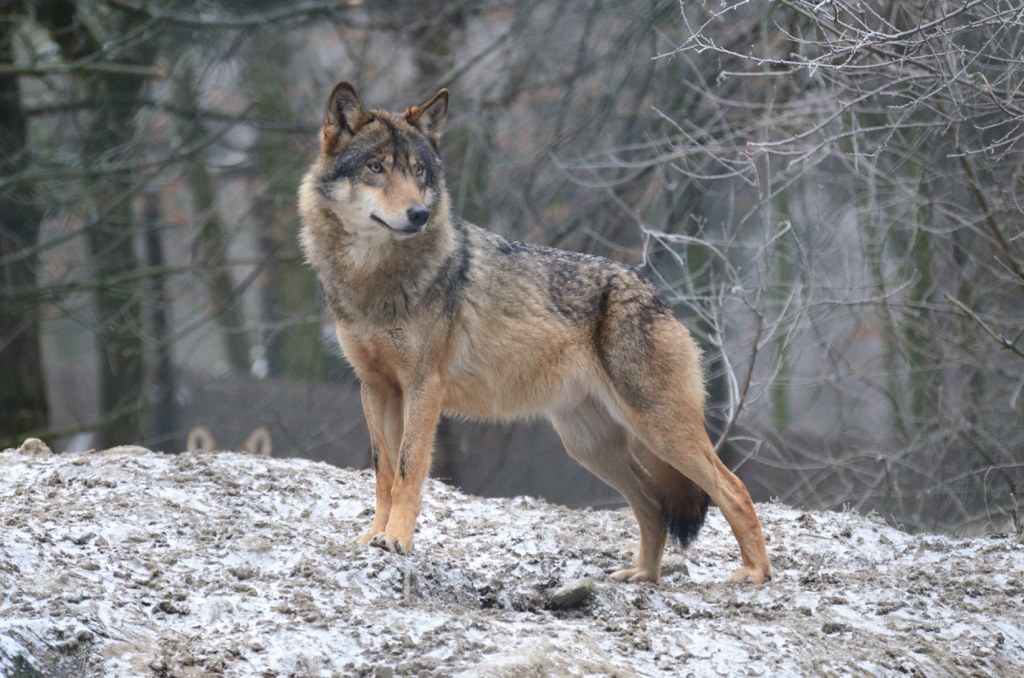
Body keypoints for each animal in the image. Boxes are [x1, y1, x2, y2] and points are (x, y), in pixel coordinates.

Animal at [296, 83, 770, 585]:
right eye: (377, 167)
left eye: (418, 170)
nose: (419, 214)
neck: (373, 278)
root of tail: (654, 291)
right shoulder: (376, 388)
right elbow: (384, 472)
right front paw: (373, 538)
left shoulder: (424, 387)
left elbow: (408, 471)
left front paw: (397, 541)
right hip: (590, 446)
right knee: (653, 504)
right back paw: (641, 575)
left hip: (660, 431)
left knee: (733, 487)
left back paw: (756, 573)